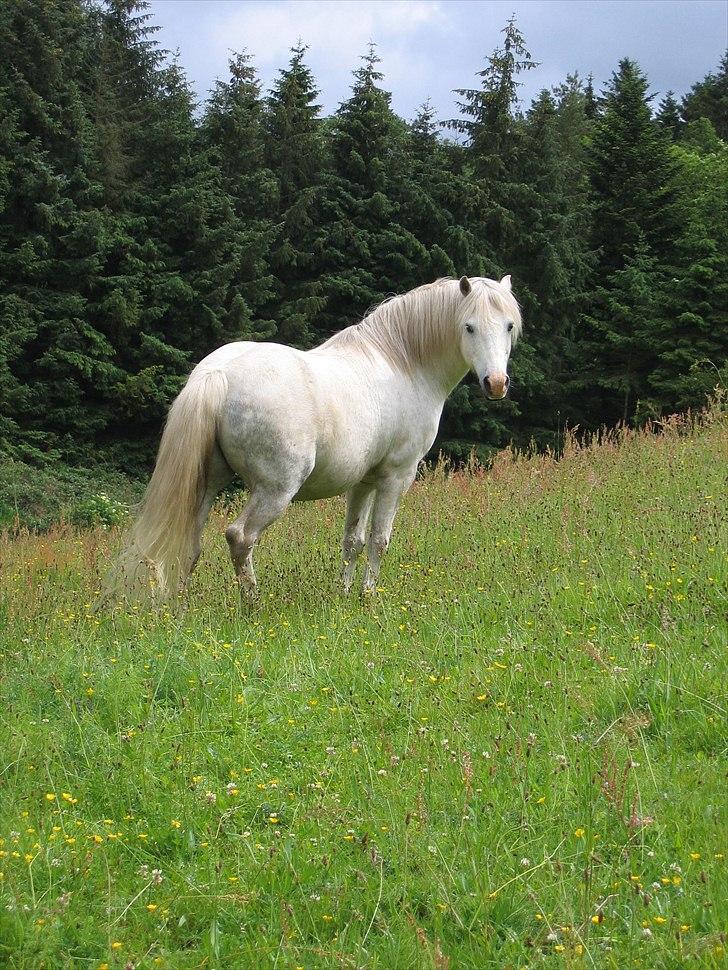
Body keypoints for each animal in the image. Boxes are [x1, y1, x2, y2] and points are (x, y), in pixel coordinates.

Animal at [111, 272, 520, 600]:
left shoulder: (363, 481)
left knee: (190, 544)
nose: (496, 383)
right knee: (240, 538)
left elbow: (353, 540)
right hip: (275, 491)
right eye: (469, 327)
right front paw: (368, 598)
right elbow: (379, 540)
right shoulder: (395, 478)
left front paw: (344, 594)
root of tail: (219, 374)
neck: (405, 364)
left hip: (208, 483)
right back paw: (252, 603)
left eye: (508, 326)